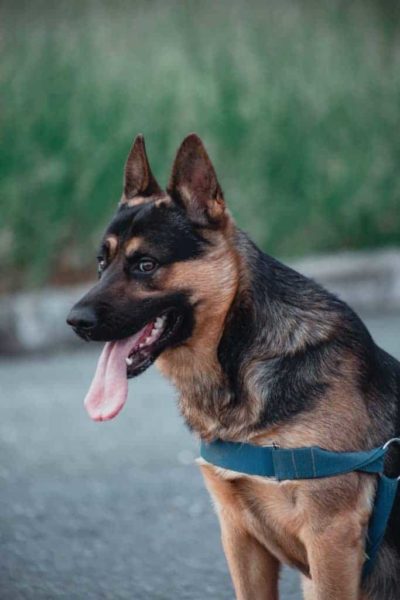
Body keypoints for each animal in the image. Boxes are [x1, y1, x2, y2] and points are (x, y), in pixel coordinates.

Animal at [68, 134, 400, 596]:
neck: (240, 360)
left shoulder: (331, 538)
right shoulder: (240, 537)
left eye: (145, 265)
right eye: (102, 262)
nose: (74, 321)